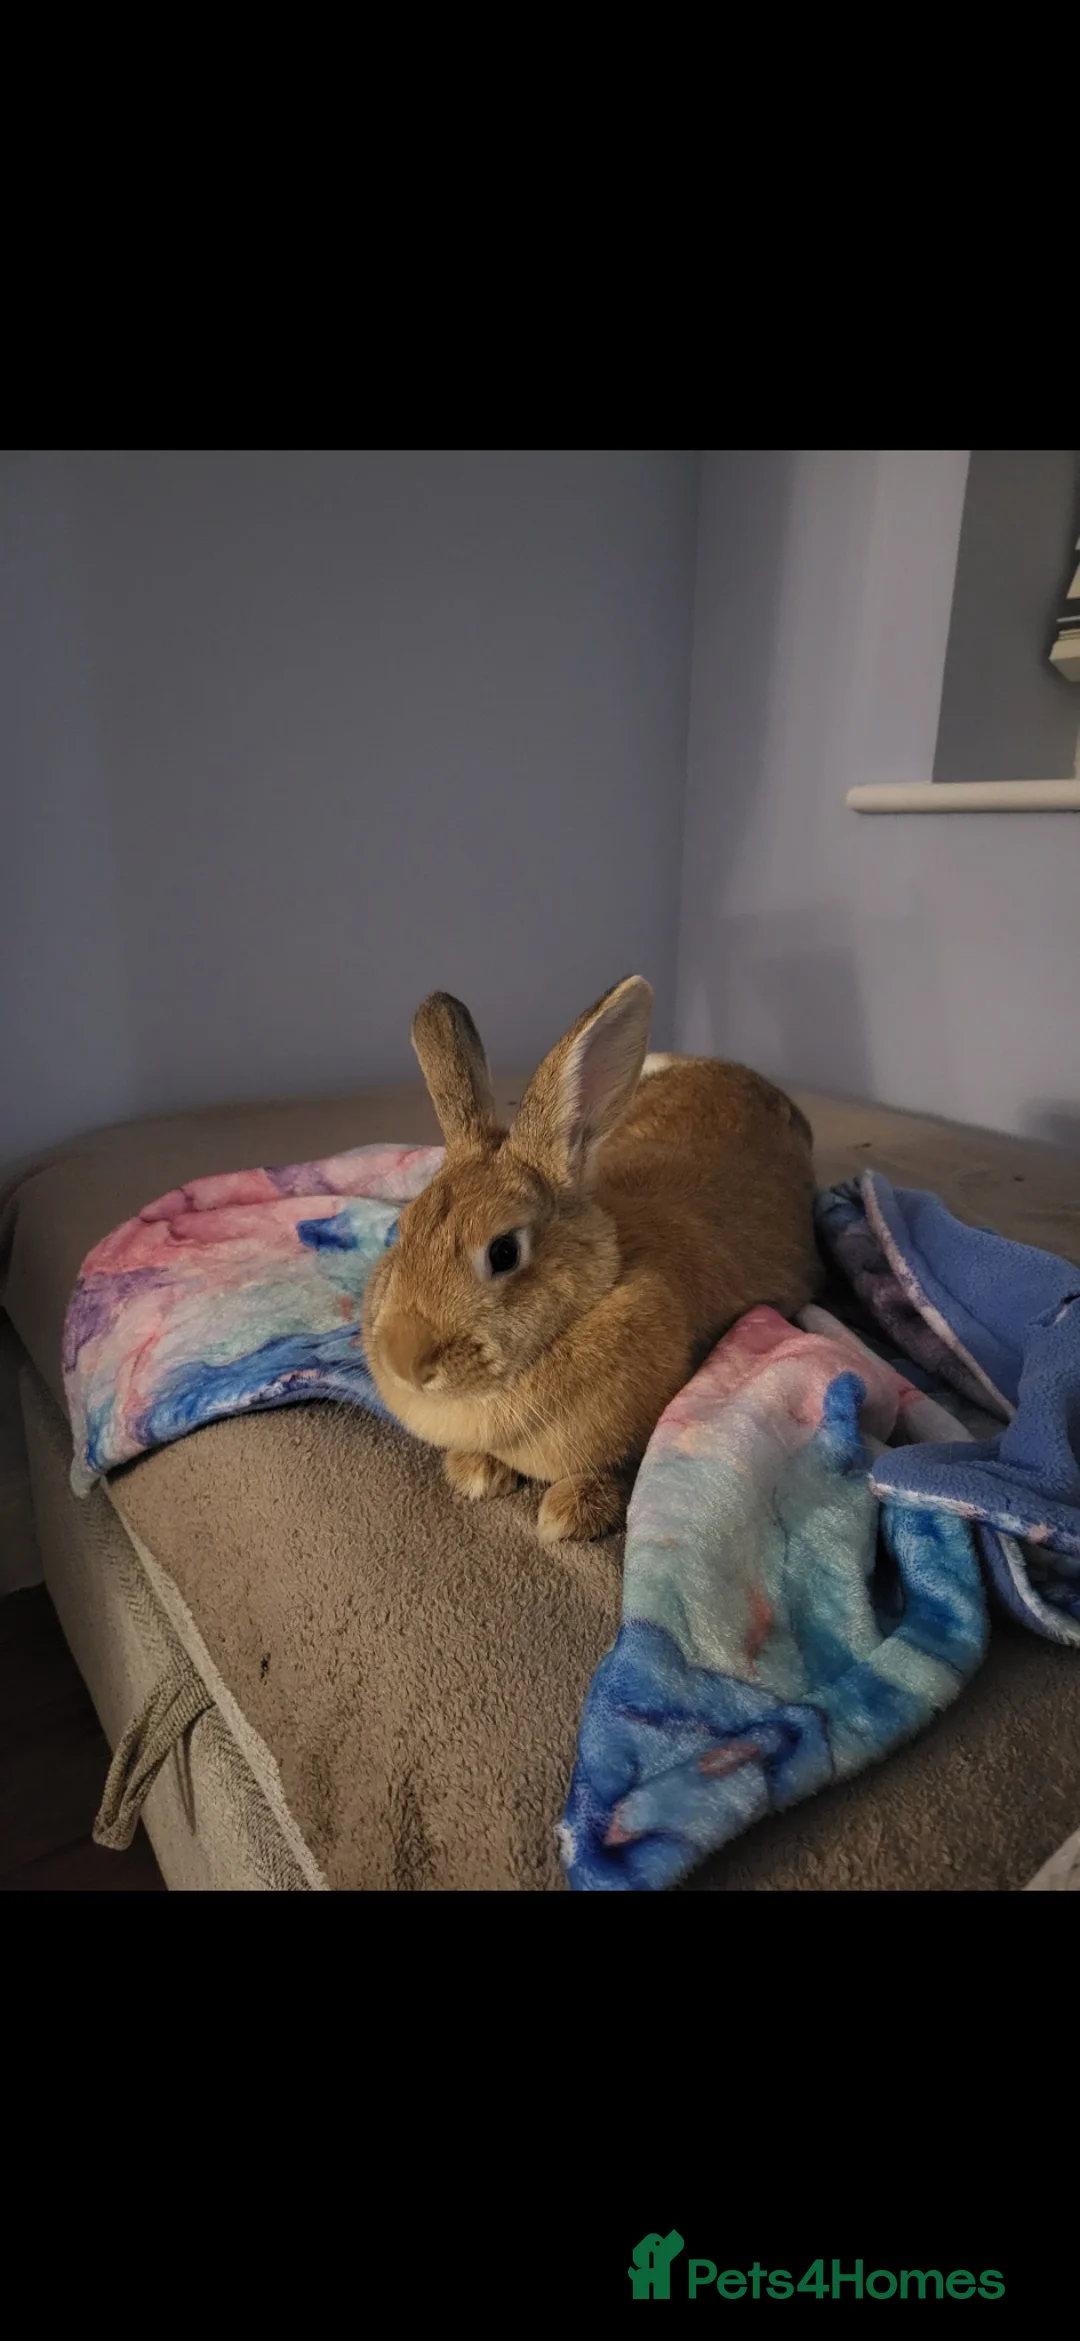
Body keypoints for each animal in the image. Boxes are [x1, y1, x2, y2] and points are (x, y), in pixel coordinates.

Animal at [361, 975, 823, 1543]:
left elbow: (621, 1468)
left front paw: (568, 1514)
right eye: (401, 1230)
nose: (404, 1360)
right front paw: (473, 1472)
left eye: (504, 1251)